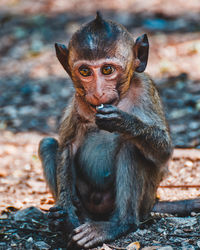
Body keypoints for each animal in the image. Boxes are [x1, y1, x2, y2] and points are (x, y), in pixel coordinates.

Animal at [39, 12, 200, 250]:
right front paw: (67, 214)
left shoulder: (146, 90)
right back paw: (74, 220)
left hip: (142, 202)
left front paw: (123, 122)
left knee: (132, 147)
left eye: (107, 70)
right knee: (48, 144)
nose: (97, 93)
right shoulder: (78, 100)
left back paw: (119, 224)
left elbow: (164, 152)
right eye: (85, 71)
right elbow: (67, 146)